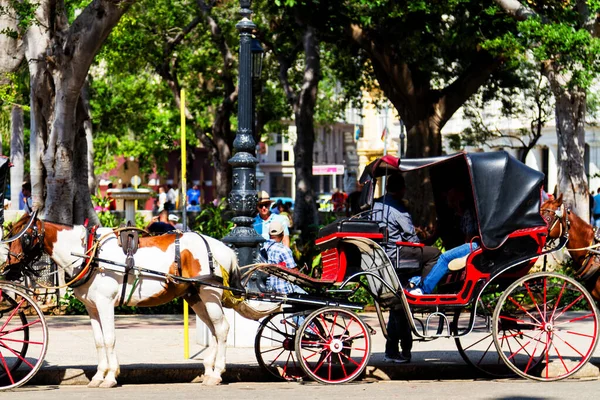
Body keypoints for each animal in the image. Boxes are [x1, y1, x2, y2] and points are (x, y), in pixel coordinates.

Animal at [0, 216, 274, 388]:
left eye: (24, 237)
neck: (89, 253)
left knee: (222, 328)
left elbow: (109, 339)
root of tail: (224, 248)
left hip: (210, 294)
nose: (8, 266)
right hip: (196, 296)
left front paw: (110, 377)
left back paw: (217, 373)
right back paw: (208, 370)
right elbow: (99, 341)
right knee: (215, 330)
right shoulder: (92, 307)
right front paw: (99, 376)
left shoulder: (105, 303)